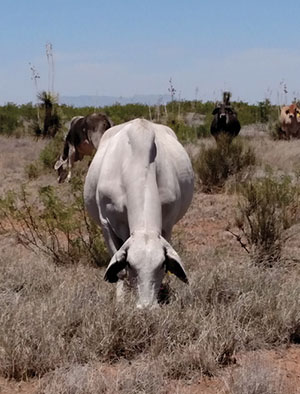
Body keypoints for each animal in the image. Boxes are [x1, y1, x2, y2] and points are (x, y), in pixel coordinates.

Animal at [84, 118, 195, 310]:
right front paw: (120, 300)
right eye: (130, 264)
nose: (147, 307)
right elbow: (119, 270)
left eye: (162, 264)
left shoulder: (167, 225)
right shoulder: (107, 225)